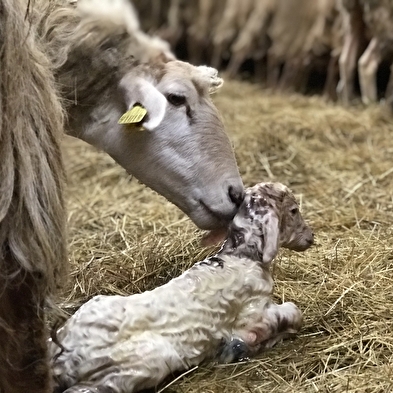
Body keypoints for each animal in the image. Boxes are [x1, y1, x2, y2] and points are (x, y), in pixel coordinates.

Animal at [50, 181, 312, 392]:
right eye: (294, 210)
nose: (311, 238)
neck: (240, 255)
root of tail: (66, 353)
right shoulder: (252, 312)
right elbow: (292, 312)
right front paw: (238, 347)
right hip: (141, 363)